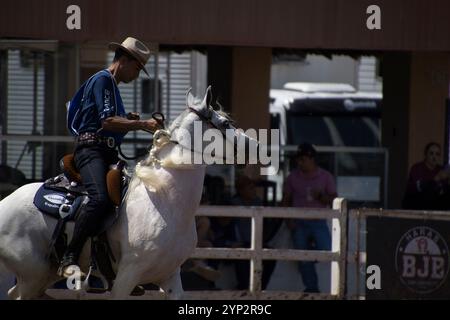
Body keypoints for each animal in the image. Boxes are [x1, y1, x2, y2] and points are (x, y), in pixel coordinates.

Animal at [0, 86, 255, 298]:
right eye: (224, 123)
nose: (256, 146)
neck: (165, 203)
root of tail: (6, 202)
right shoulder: (126, 276)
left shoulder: (170, 275)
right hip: (34, 273)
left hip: (44, 273)